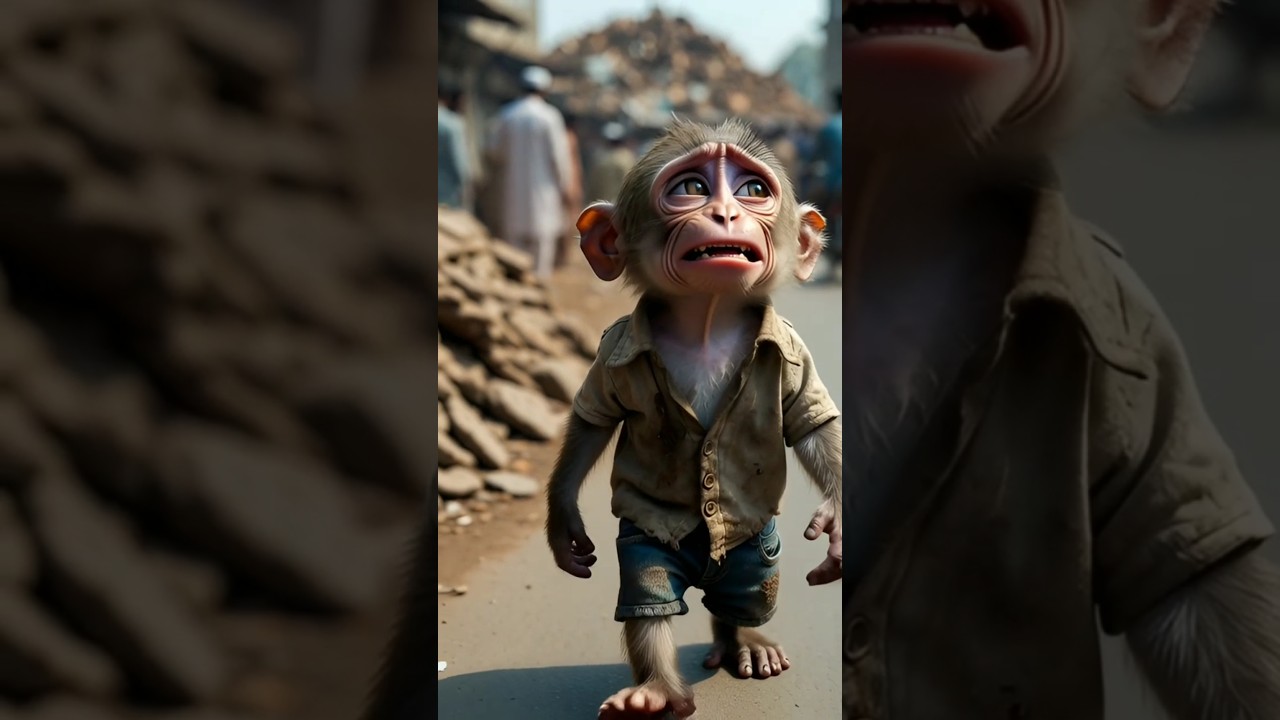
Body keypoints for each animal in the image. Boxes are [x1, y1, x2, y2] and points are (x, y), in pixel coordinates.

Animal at [548, 118, 843, 719]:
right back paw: (657, 692)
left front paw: (837, 522)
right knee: (652, 596)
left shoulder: (792, 350)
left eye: (753, 191)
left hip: (757, 560)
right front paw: (564, 525)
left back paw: (743, 642)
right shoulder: (615, 348)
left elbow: (813, 425)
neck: (707, 321)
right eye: (691, 188)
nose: (726, 214)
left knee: (744, 600)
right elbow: (592, 424)